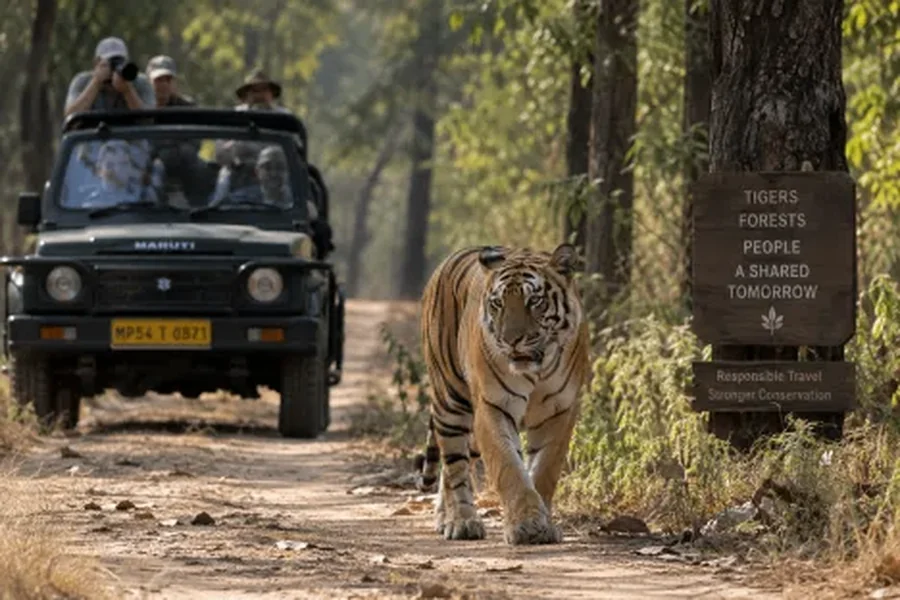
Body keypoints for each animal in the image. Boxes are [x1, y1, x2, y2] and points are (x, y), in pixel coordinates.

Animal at [417, 242, 590, 545]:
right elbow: (510, 468)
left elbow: (544, 470)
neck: (537, 370)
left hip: (470, 431)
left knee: (450, 469)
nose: (511, 340)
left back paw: (443, 517)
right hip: (451, 402)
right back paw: (461, 522)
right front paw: (527, 525)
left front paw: (544, 525)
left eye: (534, 301)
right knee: (454, 467)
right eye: (497, 304)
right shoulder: (493, 407)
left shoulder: (560, 413)